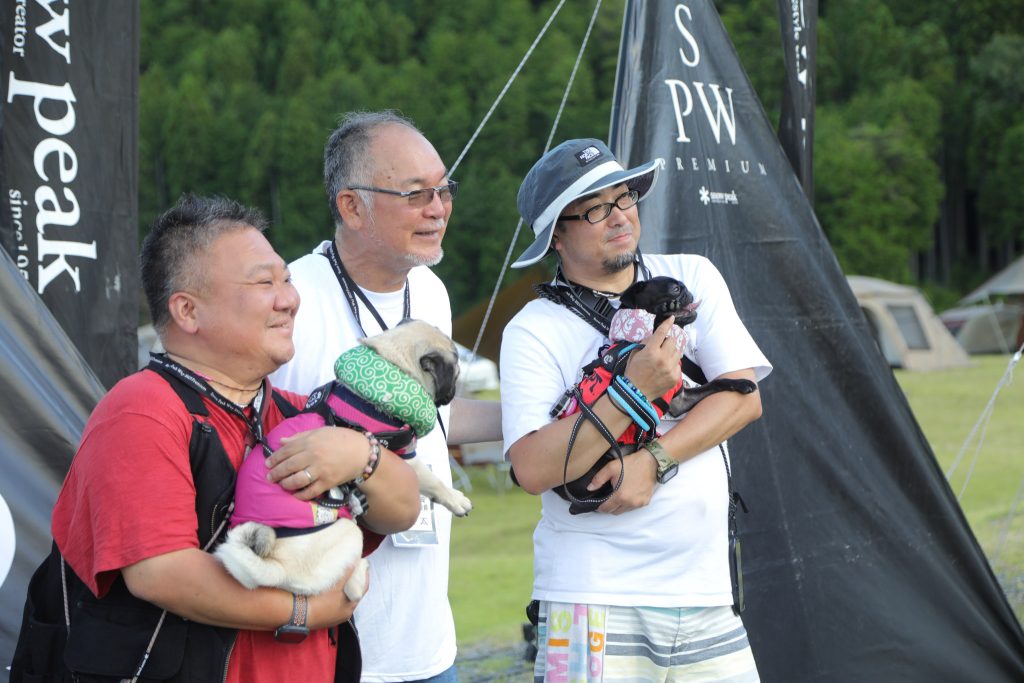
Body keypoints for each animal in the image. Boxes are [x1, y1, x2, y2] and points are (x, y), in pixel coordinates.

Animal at [215, 320, 471, 599]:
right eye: (456, 369)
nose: (453, 392)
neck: (392, 362)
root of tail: (275, 568)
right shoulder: (406, 456)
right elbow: (434, 482)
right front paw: (457, 500)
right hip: (348, 532)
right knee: (351, 585)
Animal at [551, 276, 757, 513]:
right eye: (675, 289)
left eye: (683, 286)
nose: (688, 292)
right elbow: (659, 328)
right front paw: (663, 317)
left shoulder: (680, 401)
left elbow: (716, 383)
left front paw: (741, 383)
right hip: (597, 464)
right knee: (589, 501)